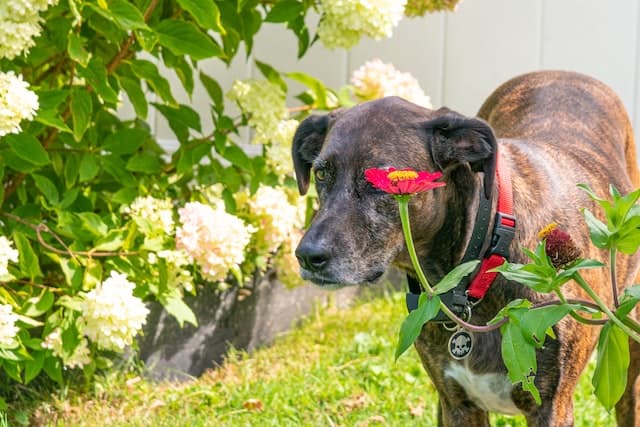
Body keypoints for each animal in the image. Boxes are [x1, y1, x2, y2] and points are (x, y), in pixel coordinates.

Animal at [292, 72, 640, 426]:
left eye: (381, 180)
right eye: (321, 173)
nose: (307, 256)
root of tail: (562, 72)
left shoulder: (551, 407)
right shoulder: (458, 404)